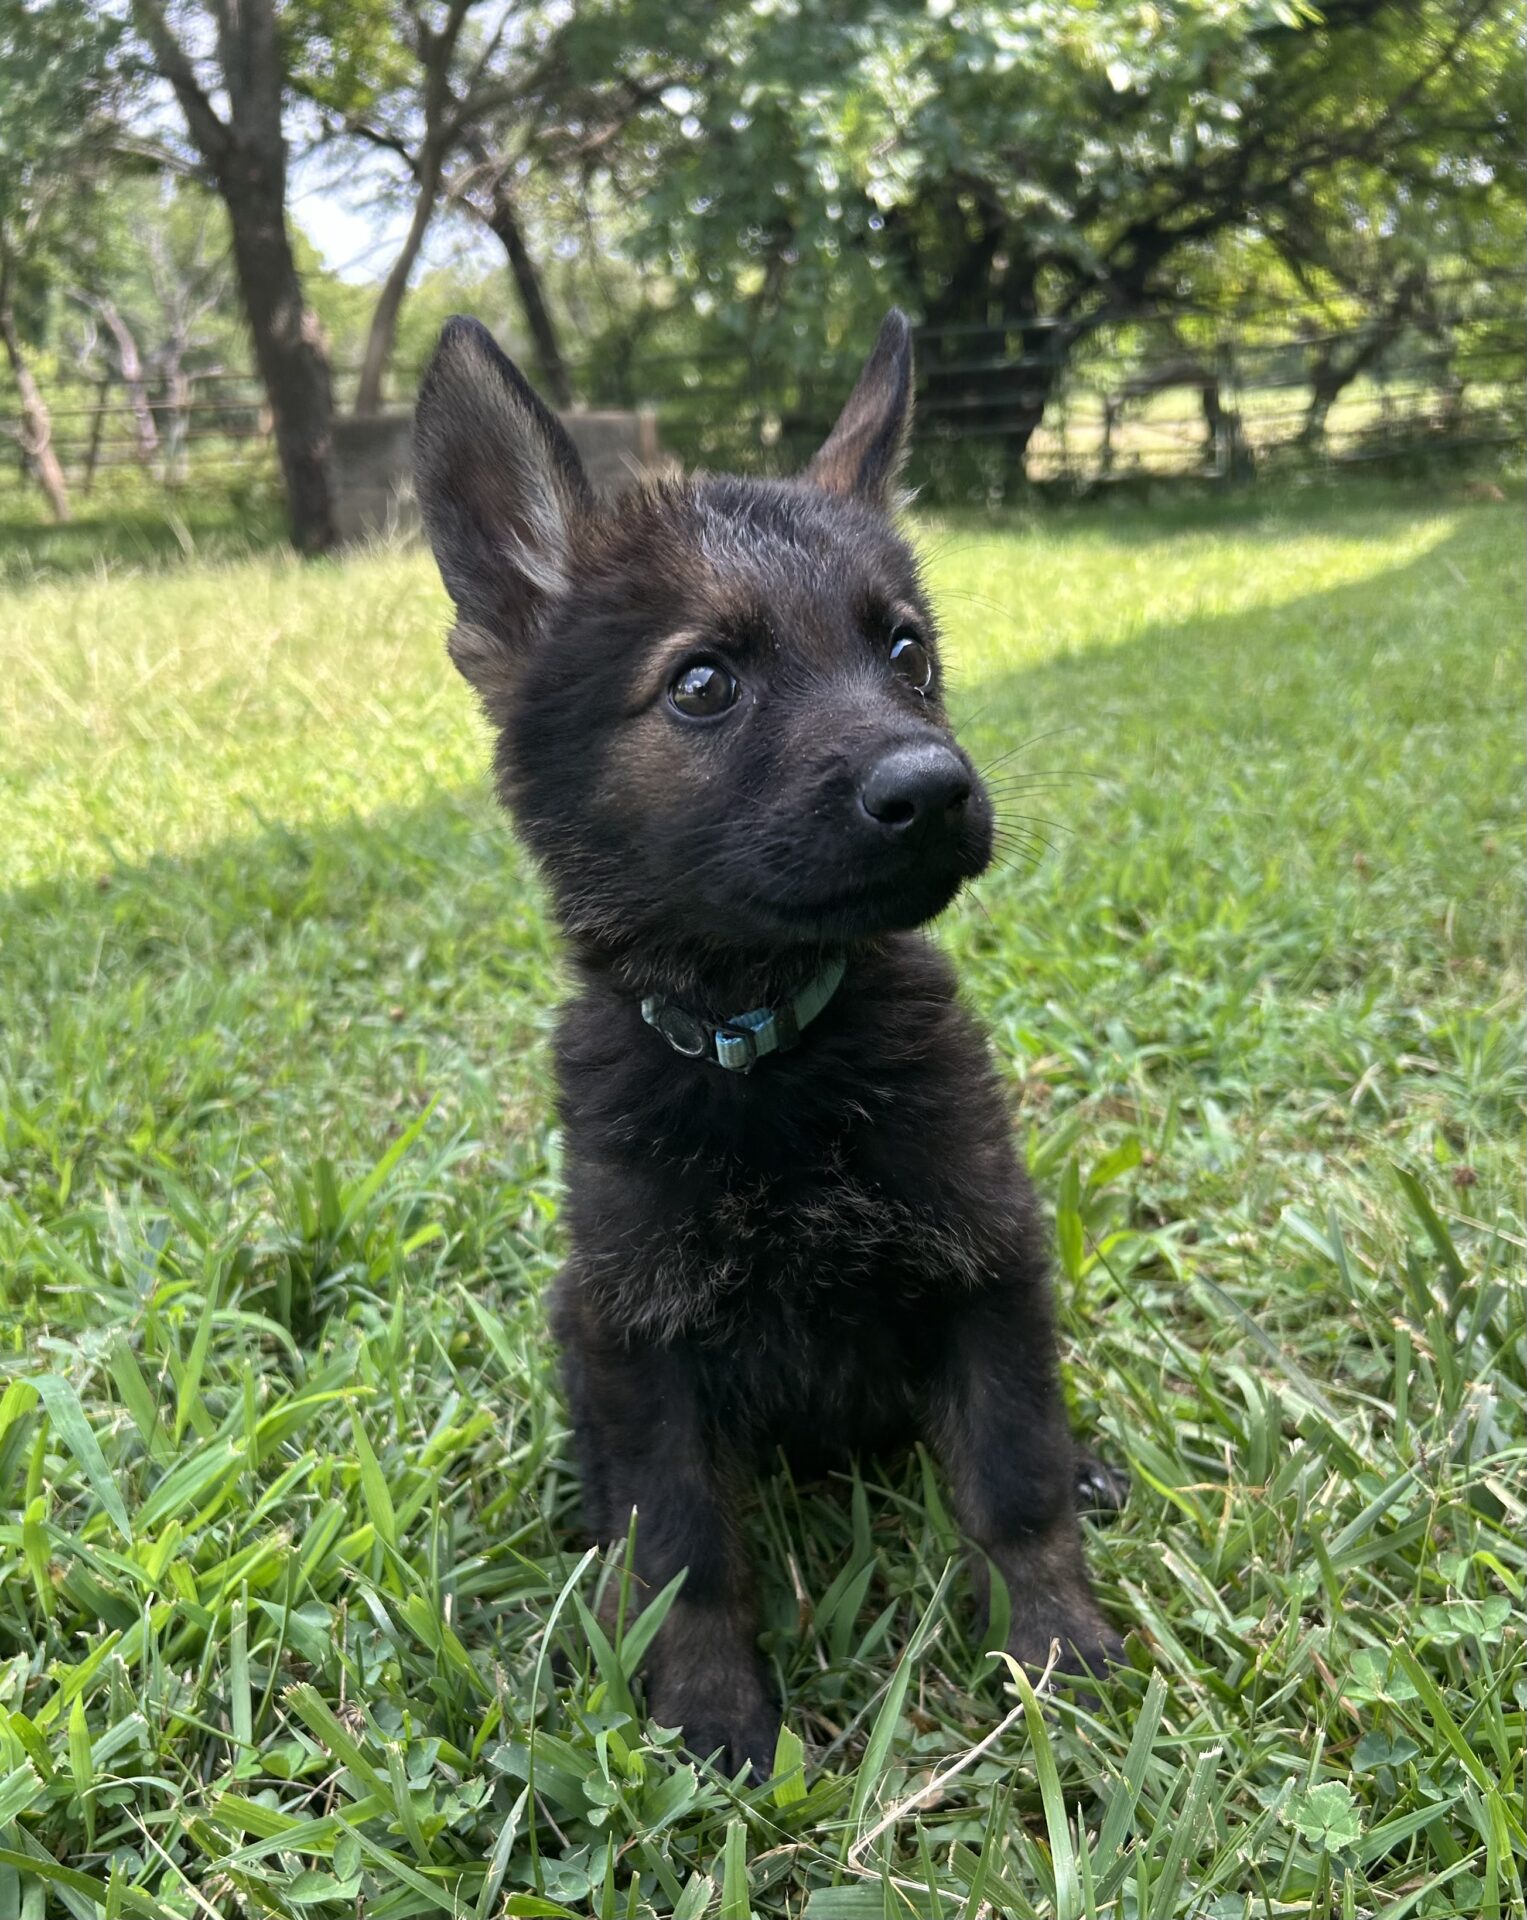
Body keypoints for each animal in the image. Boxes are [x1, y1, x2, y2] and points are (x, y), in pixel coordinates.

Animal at [414, 311, 1121, 1766]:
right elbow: (683, 1544)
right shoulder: (639, 1333)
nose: (933, 790)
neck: (772, 1052)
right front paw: (706, 1711)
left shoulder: (988, 1261)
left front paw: (1053, 1647)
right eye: (702, 683)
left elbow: (1015, 1480)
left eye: (906, 654)